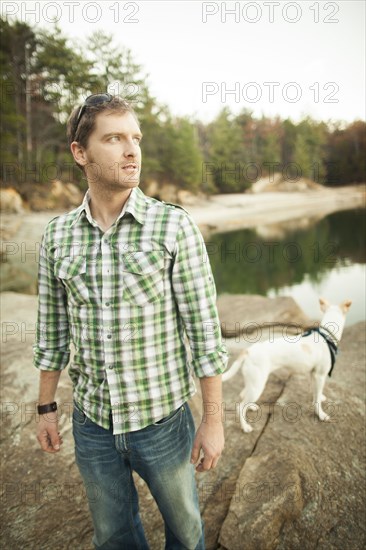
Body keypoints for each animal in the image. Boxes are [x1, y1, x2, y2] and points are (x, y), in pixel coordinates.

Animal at [222, 300, 354, 434]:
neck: (326, 335)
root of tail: (248, 351)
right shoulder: (320, 375)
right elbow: (316, 397)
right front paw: (320, 414)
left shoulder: (313, 374)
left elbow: (316, 392)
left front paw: (320, 397)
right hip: (257, 385)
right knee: (240, 406)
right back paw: (245, 427)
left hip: (253, 383)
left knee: (243, 395)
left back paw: (251, 407)